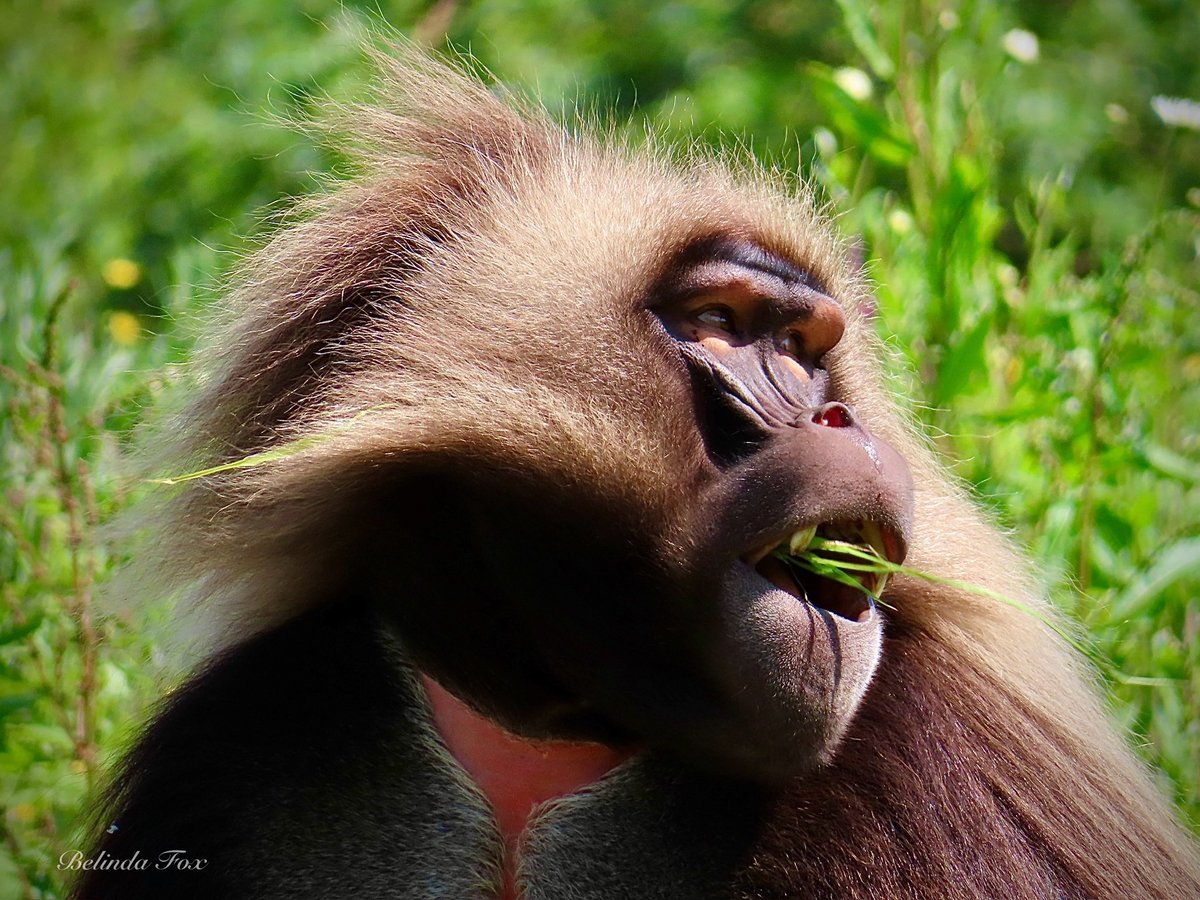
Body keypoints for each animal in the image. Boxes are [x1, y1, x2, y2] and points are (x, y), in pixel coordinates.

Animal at [75, 48, 1200, 900]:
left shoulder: (940, 759)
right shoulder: (253, 729)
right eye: (725, 324)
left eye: (808, 347)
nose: (836, 418)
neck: (558, 717)